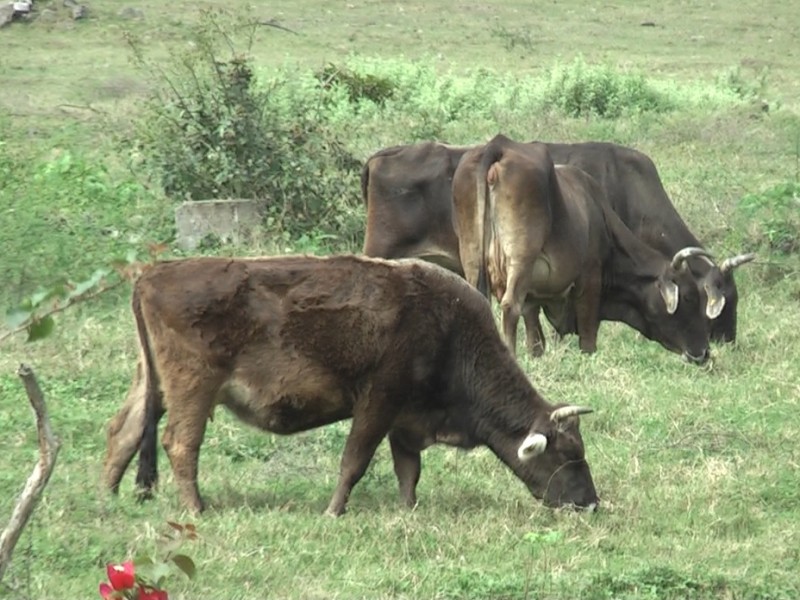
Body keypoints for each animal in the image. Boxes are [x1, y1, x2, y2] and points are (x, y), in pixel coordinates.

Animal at [103, 254, 596, 516]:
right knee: (180, 443)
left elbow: (408, 470)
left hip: (152, 384)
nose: (590, 503)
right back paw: (196, 509)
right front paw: (333, 510)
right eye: (568, 455)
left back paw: (107, 497)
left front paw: (408, 509)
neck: (448, 327)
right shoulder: (378, 402)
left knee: (124, 431)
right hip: (194, 387)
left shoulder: (405, 419)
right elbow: (354, 461)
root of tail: (151, 274)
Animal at [454, 134, 708, 364]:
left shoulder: (535, 296)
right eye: (689, 297)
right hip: (521, 258)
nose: (703, 352)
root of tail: (500, 146)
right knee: (510, 306)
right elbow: (587, 338)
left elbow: (536, 339)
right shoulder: (590, 279)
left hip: (473, 258)